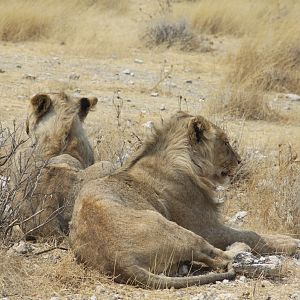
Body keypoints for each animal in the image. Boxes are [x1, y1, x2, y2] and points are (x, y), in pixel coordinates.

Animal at [69, 112, 300, 288]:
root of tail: (122, 261)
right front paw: (291, 242)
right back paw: (239, 247)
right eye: (225, 143)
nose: (239, 161)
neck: (187, 162)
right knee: (223, 258)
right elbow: (253, 234)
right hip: (177, 230)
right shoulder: (207, 228)